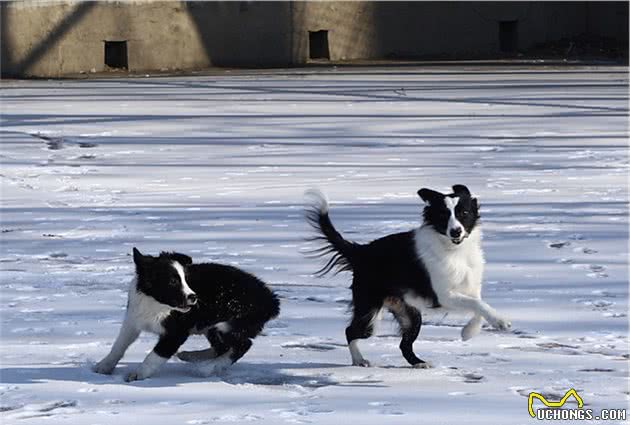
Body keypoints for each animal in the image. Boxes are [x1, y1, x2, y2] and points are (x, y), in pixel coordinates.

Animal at [93, 247, 278, 380]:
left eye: (187, 281)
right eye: (172, 281)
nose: (193, 297)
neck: (156, 304)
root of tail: (271, 300)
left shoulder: (176, 333)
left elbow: (155, 355)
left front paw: (139, 374)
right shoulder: (132, 320)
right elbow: (119, 345)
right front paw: (104, 366)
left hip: (228, 323)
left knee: (242, 345)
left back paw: (207, 368)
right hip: (211, 325)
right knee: (223, 347)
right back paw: (192, 356)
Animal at [308, 186, 512, 368]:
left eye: (464, 212)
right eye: (443, 215)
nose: (456, 231)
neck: (455, 250)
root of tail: (360, 251)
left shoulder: (470, 289)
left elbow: (479, 307)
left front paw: (468, 333)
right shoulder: (444, 296)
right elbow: (478, 304)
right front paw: (500, 322)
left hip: (410, 314)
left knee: (404, 344)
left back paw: (419, 363)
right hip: (370, 313)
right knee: (350, 331)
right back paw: (359, 360)